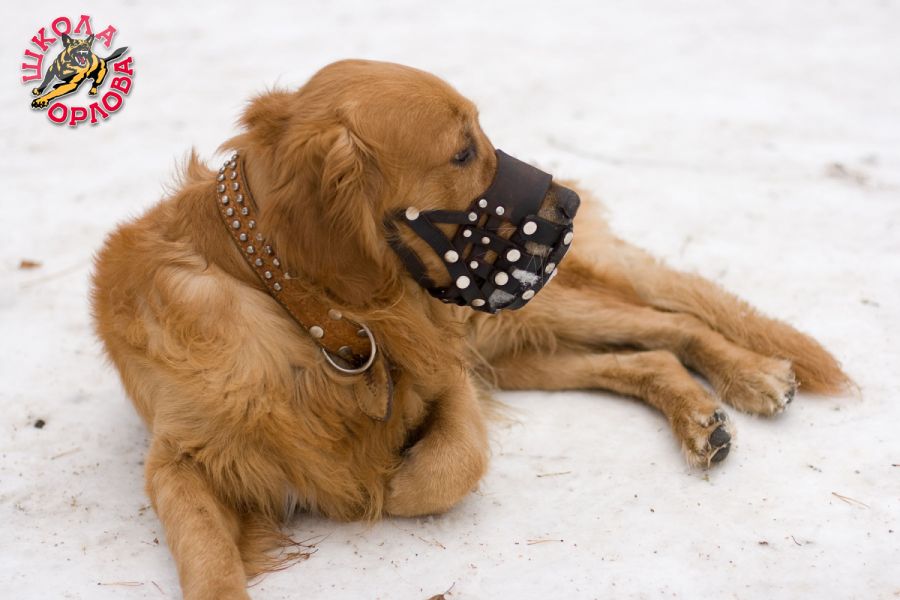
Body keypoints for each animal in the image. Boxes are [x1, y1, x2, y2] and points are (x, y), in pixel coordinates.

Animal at [91, 59, 848, 600]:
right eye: (462, 152)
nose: (568, 202)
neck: (317, 320)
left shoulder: (446, 373)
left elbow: (446, 467)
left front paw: (386, 478)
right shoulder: (175, 459)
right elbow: (205, 555)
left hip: (520, 318)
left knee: (675, 320)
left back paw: (752, 377)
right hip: (519, 347)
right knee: (649, 356)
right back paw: (701, 419)